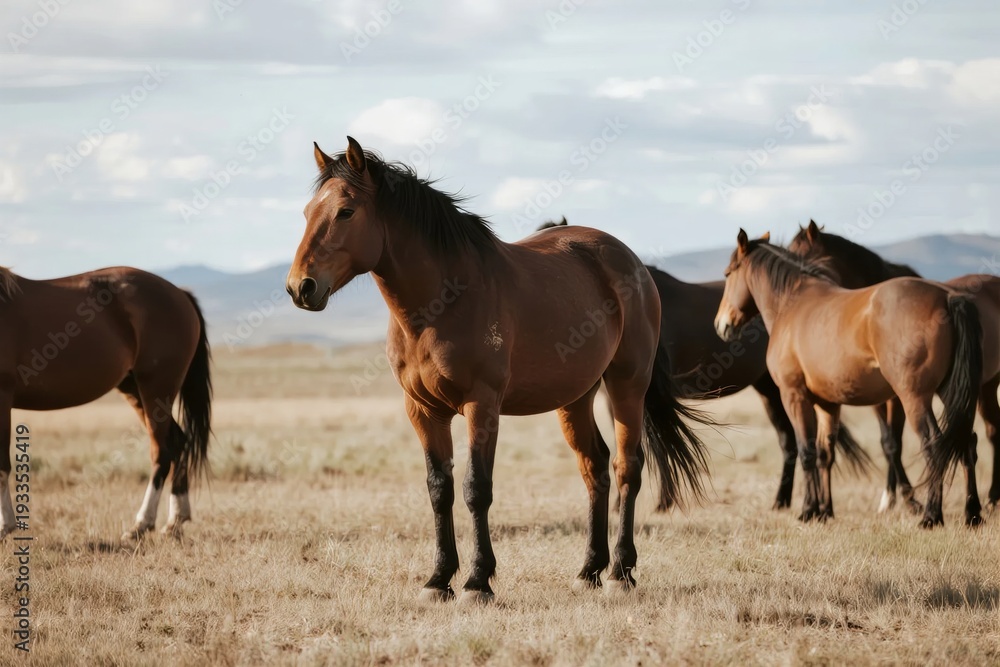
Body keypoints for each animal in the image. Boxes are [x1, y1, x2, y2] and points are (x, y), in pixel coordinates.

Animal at [0, 267, 212, 540]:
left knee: (162, 451)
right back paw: (175, 520)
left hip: (157, 389)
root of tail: (180, 294)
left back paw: (141, 524)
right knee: (179, 441)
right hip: (135, 389)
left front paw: (5, 527)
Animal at [286, 137, 712, 604]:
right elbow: (439, 489)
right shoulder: (422, 410)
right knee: (594, 467)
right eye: (307, 212)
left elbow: (476, 488)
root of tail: (631, 261)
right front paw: (438, 579)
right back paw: (589, 570)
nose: (300, 287)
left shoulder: (482, 405)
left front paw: (477, 581)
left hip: (626, 385)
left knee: (626, 468)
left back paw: (620, 572)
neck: (442, 303)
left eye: (346, 211)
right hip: (575, 397)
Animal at [536, 218, 871, 512]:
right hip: (768, 391)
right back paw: (783, 502)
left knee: (793, 443)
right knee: (789, 442)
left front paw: (659, 502)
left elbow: (654, 447)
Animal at [715, 230, 982, 528]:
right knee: (966, 442)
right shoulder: (828, 404)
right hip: (950, 394)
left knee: (934, 445)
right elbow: (825, 454)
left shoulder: (794, 396)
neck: (792, 303)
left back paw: (931, 515)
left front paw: (808, 510)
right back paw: (972, 512)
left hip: (914, 398)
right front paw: (825, 510)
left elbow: (806, 451)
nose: (722, 324)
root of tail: (947, 298)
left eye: (727, 274)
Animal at [789, 220, 1000, 510]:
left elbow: (896, 442)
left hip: (986, 386)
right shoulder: (880, 400)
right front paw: (891, 497)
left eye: (799, 255)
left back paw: (992, 497)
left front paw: (910, 499)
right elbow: (888, 442)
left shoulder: (899, 397)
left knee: (991, 432)